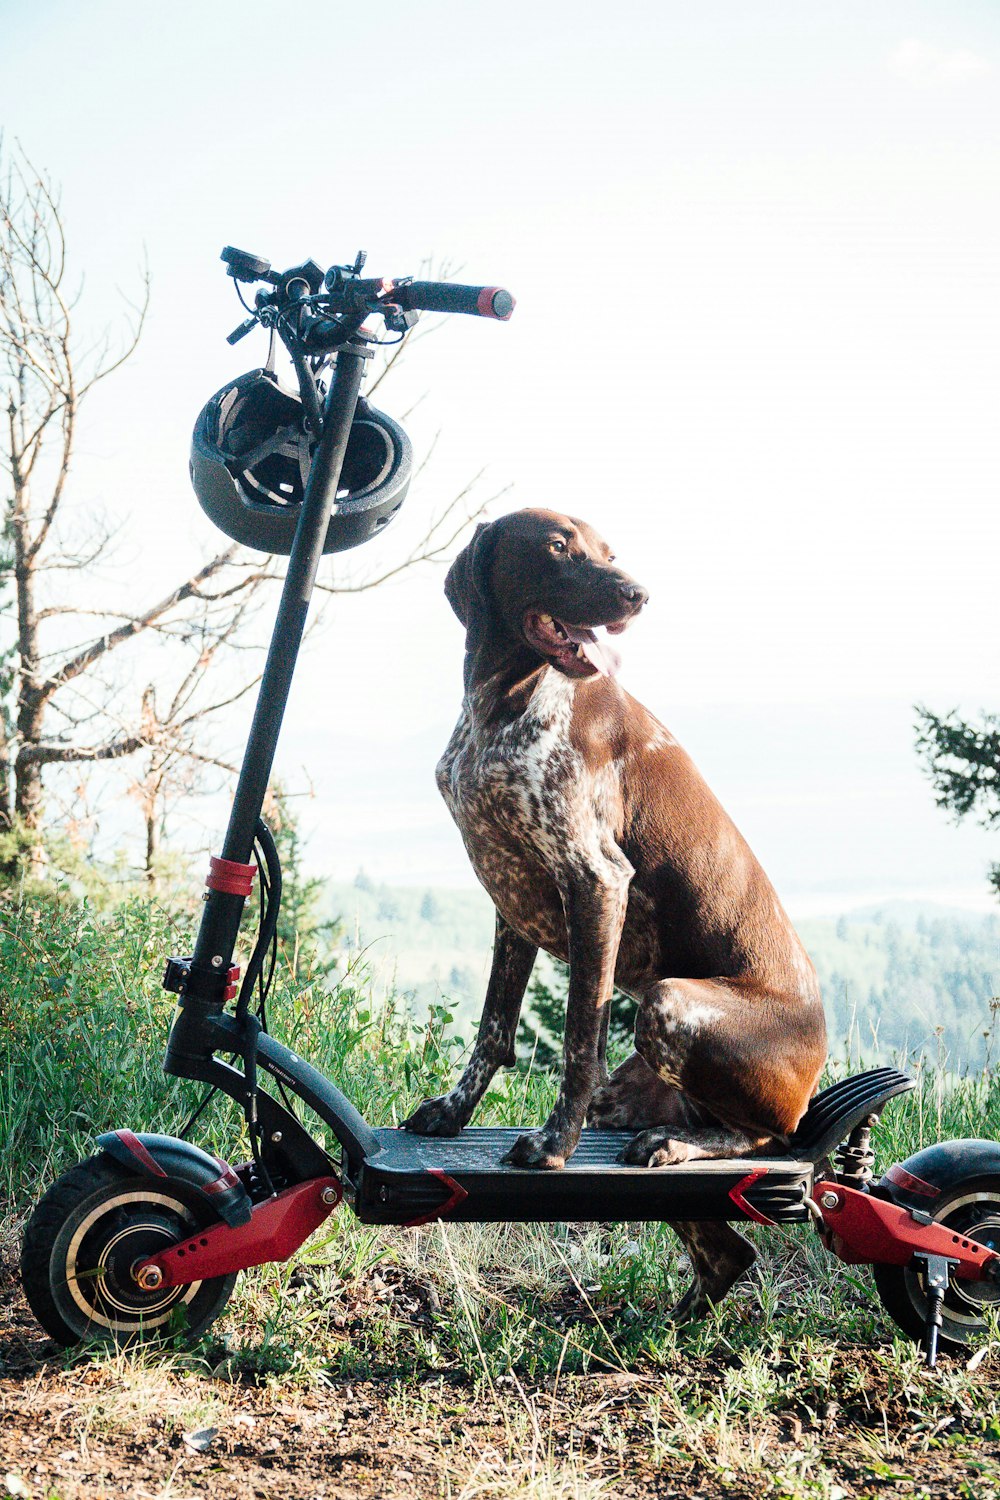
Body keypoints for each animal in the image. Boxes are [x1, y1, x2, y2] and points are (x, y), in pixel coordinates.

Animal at [401, 513, 827, 1314]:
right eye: (557, 547)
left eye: (610, 552)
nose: (639, 594)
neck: (502, 703)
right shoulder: (512, 898)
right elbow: (493, 1031)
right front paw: (453, 1111)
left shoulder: (596, 881)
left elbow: (576, 1040)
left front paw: (551, 1149)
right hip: (641, 1069)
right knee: (724, 1243)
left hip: (668, 1003)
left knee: (770, 1141)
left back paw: (678, 1146)